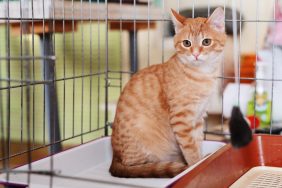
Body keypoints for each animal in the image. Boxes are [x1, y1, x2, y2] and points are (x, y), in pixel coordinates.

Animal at [109, 7, 226, 178]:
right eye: (186, 43)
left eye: (206, 42)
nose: (195, 54)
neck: (201, 75)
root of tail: (115, 157)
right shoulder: (181, 120)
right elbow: (191, 149)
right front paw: (195, 165)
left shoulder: (198, 118)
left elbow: (198, 142)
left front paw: (200, 159)